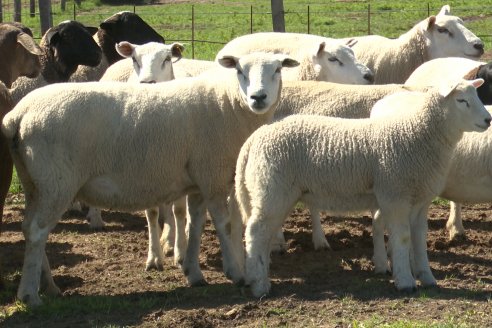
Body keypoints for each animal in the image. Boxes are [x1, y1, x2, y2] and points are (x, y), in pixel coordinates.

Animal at [2, 52, 300, 308]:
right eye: (239, 70)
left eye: (277, 69)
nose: (258, 97)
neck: (228, 103)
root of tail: (18, 115)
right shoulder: (212, 177)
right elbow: (223, 226)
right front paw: (236, 273)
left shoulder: (198, 181)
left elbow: (195, 225)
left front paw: (193, 272)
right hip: (56, 182)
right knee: (38, 231)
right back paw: (30, 295)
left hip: (34, 182)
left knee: (30, 228)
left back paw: (49, 286)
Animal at [234, 79, 488, 298]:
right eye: (462, 101)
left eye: (477, 95)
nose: (488, 120)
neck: (418, 134)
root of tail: (254, 139)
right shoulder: (395, 195)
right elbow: (402, 238)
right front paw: (405, 282)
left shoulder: (419, 200)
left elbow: (419, 239)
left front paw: (427, 278)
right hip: (272, 190)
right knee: (256, 232)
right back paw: (259, 286)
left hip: (275, 192)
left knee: (263, 233)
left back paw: (260, 277)